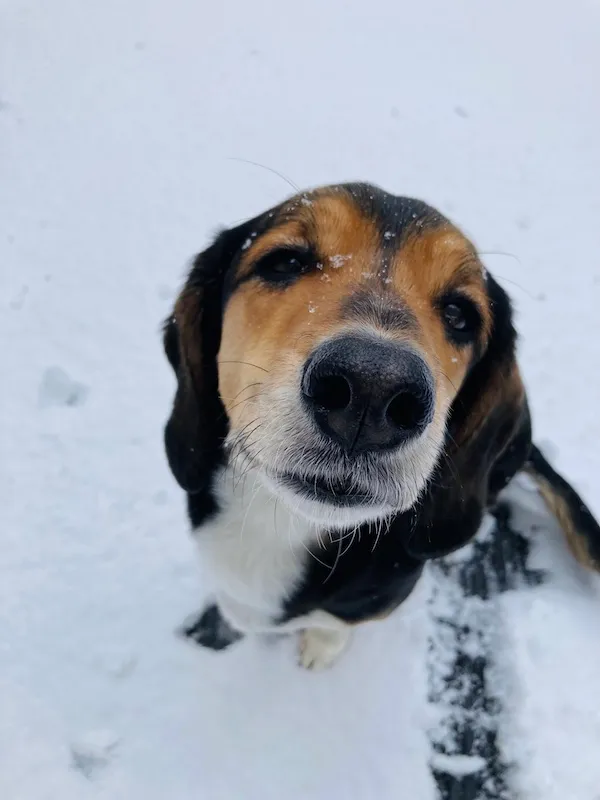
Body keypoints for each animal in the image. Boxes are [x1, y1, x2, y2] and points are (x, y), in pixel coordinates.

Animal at [161, 181, 600, 668]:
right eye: (285, 262)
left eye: (459, 314)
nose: (372, 388)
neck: (284, 522)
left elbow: (332, 626)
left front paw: (319, 650)